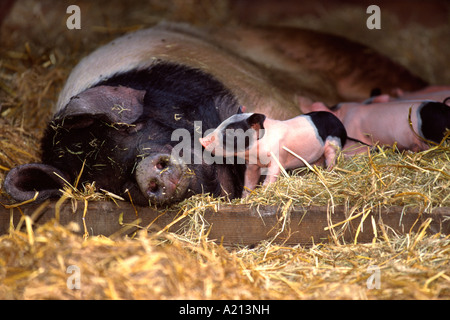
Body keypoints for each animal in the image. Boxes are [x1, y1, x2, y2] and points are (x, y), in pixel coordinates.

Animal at [199, 112, 346, 198]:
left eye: (230, 131)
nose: (202, 140)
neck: (256, 152)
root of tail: (340, 123)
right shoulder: (252, 165)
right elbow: (249, 183)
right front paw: (244, 200)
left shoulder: (277, 159)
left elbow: (269, 179)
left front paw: (262, 194)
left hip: (334, 143)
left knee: (331, 159)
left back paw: (329, 174)